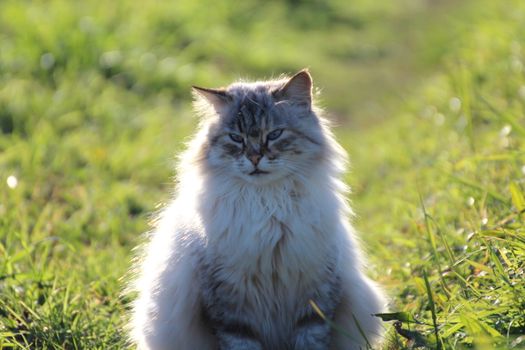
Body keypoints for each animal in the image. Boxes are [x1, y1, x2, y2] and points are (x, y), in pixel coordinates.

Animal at [129, 69, 386, 348]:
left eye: (274, 134)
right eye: (236, 138)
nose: (254, 158)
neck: (267, 205)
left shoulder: (315, 298)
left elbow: (311, 340)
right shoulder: (230, 306)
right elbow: (241, 342)